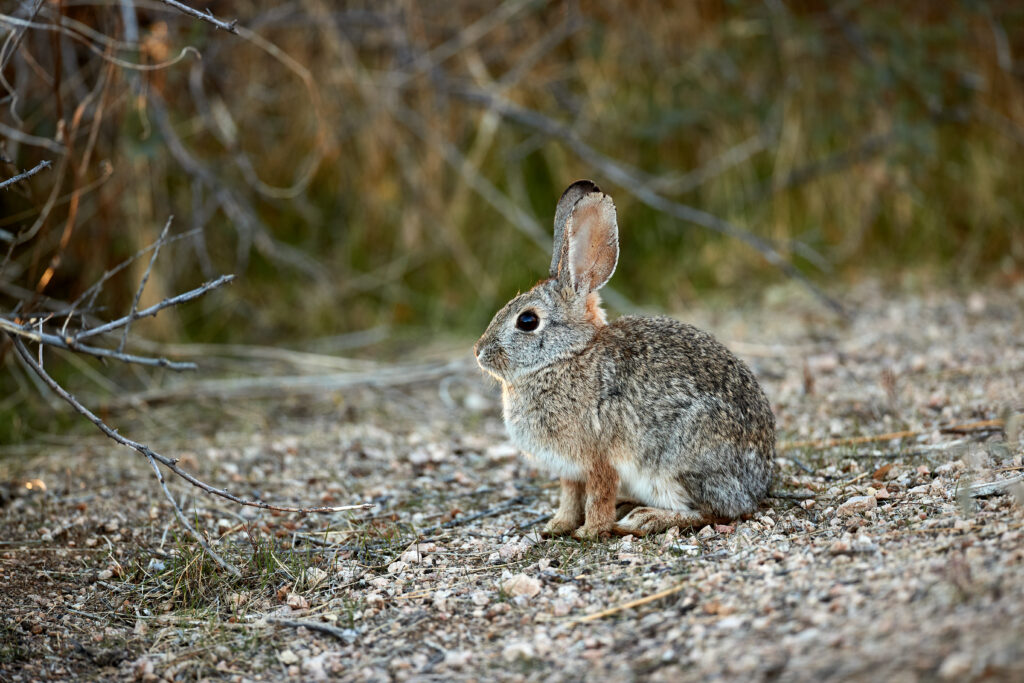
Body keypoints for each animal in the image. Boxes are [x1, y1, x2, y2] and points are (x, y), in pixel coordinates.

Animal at [474, 180, 776, 539]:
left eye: (527, 321)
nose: (479, 352)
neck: (565, 357)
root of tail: (757, 486)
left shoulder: (600, 459)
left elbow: (598, 496)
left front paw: (590, 531)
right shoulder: (569, 470)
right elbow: (569, 496)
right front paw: (557, 526)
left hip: (680, 463)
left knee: (714, 512)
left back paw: (645, 519)